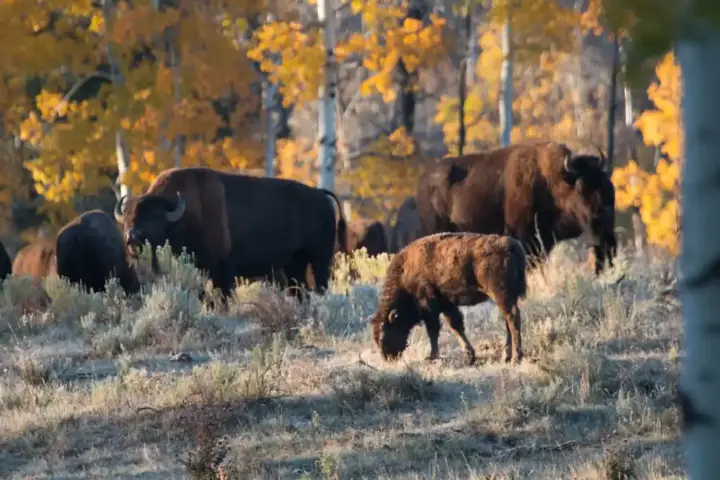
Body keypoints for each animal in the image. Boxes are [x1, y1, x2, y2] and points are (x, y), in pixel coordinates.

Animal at [114, 166, 347, 299]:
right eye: (126, 220)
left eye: (154, 218)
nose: (131, 238)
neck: (180, 215)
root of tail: (320, 195)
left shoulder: (222, 268)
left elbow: (223, 294)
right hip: (294, 264)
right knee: (299, 288)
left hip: (320, 259)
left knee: (320, 284)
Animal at [371, 232, 527, 365]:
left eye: (384, 336)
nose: (387, 359)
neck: (404, 273)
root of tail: (512, 246)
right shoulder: (447, 305)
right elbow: (456, 326)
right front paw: (469, 356)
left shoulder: (428, 306)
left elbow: (433, 331)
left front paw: (432, 357)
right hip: (507, 297)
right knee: (508, 320)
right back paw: (506, 356)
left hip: (500, 294)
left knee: (512, 318)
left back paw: (515, 358)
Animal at [416, 141, 617, 274]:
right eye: (582, 189)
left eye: (607, 186)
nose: (604, 215)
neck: (553, 182)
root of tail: (424, 181)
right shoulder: (523, 236)